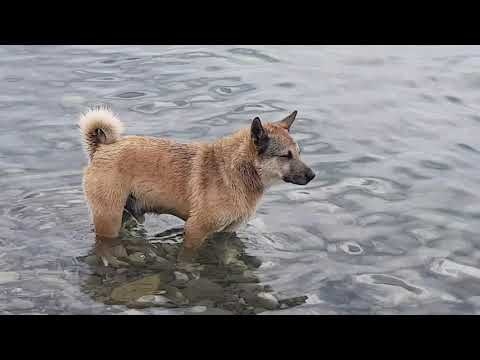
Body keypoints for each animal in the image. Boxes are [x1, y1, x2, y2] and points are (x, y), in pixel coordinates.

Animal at [79, 107, 316, 262]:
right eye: (285, 156)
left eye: (299, 153)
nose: (313, 175)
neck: (238, 170)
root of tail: (102, 148)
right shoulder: (195, 230)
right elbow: (189, 257)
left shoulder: (226, 234)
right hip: (109, 218)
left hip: (125, 214)